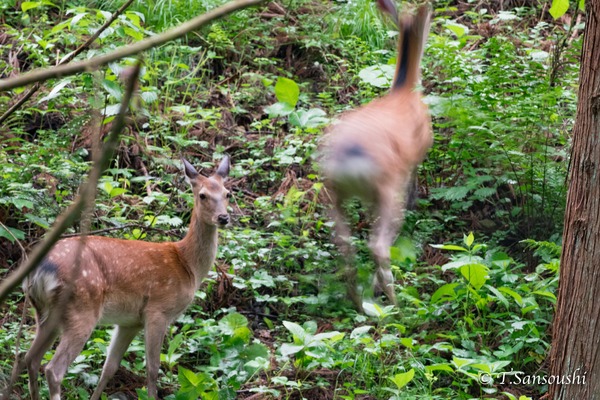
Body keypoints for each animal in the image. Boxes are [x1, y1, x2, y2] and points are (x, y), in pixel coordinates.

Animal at [12, 156, 232, 400]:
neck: (187, 265)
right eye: (202, 195)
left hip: (45, 313)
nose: (223, 217)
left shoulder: (129, 322)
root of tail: (41, 269)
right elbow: (153, 368)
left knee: (29, 359)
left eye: (227, 193)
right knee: (53, 369)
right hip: (82, 307)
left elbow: (109, 368)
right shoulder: (158, 310)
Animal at [322, 1, 434, 310]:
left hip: (335, 190)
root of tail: (349, 158)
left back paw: (358, 300)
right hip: (386, 186)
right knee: (379, 243)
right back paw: (395, 304)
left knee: (345, 242)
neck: (403, 90)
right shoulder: (418, 152)